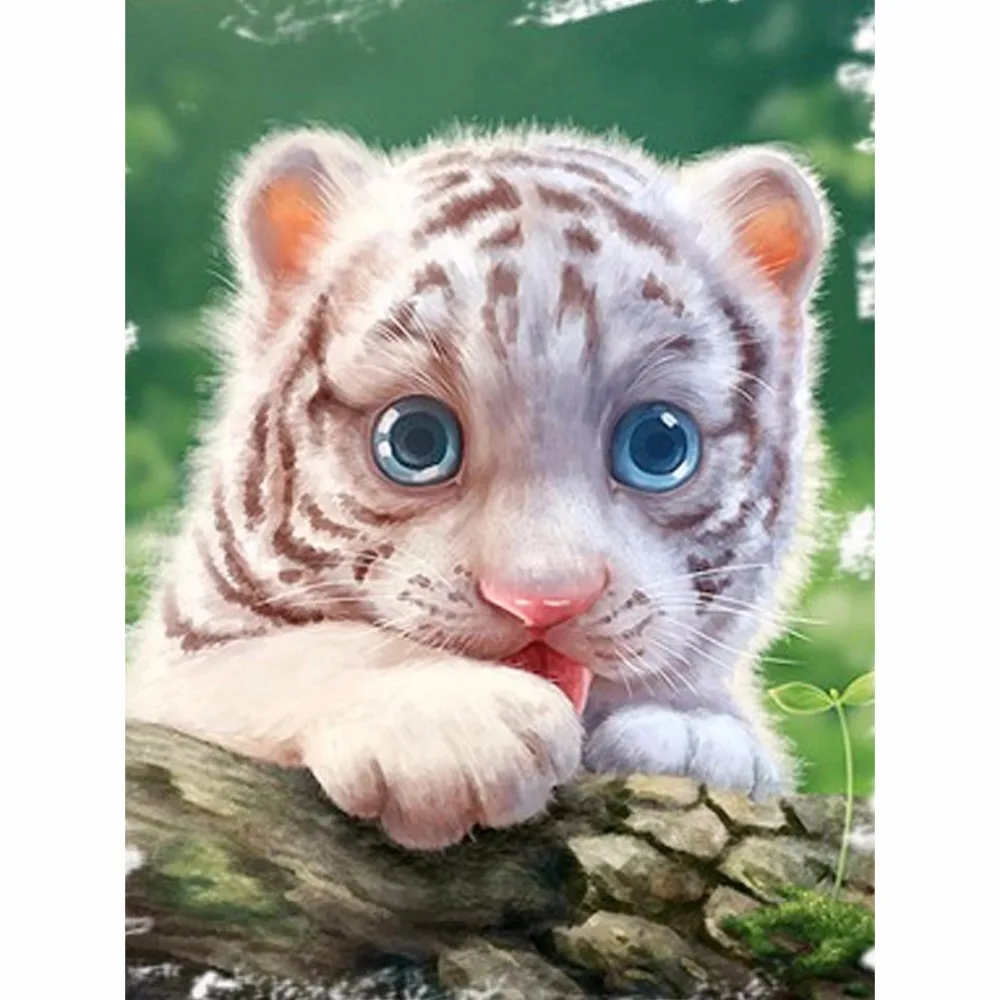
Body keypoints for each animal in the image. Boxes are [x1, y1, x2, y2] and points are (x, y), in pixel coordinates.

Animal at [126, 124, 831, 851]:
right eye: (416, 441)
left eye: (658, 445)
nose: (543, 603)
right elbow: (285, 659)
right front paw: (447, 724)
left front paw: (693, 732)